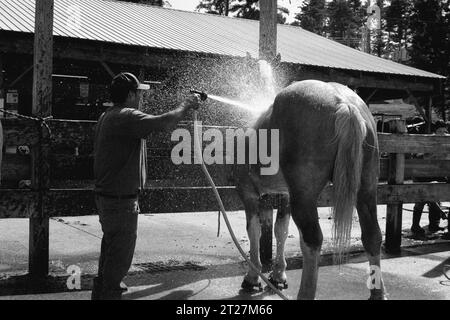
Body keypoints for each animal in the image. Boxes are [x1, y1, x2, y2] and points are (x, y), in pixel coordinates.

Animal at [234, 80, 384, 300]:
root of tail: (345, 104)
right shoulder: (285, 196)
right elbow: (280, 230)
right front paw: (278, 275)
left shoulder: (249, 194)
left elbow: (254, 231)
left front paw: (252, 278)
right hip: (366, 190)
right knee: (372, 236)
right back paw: (378, 293)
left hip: (304, 198)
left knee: (312, 240)